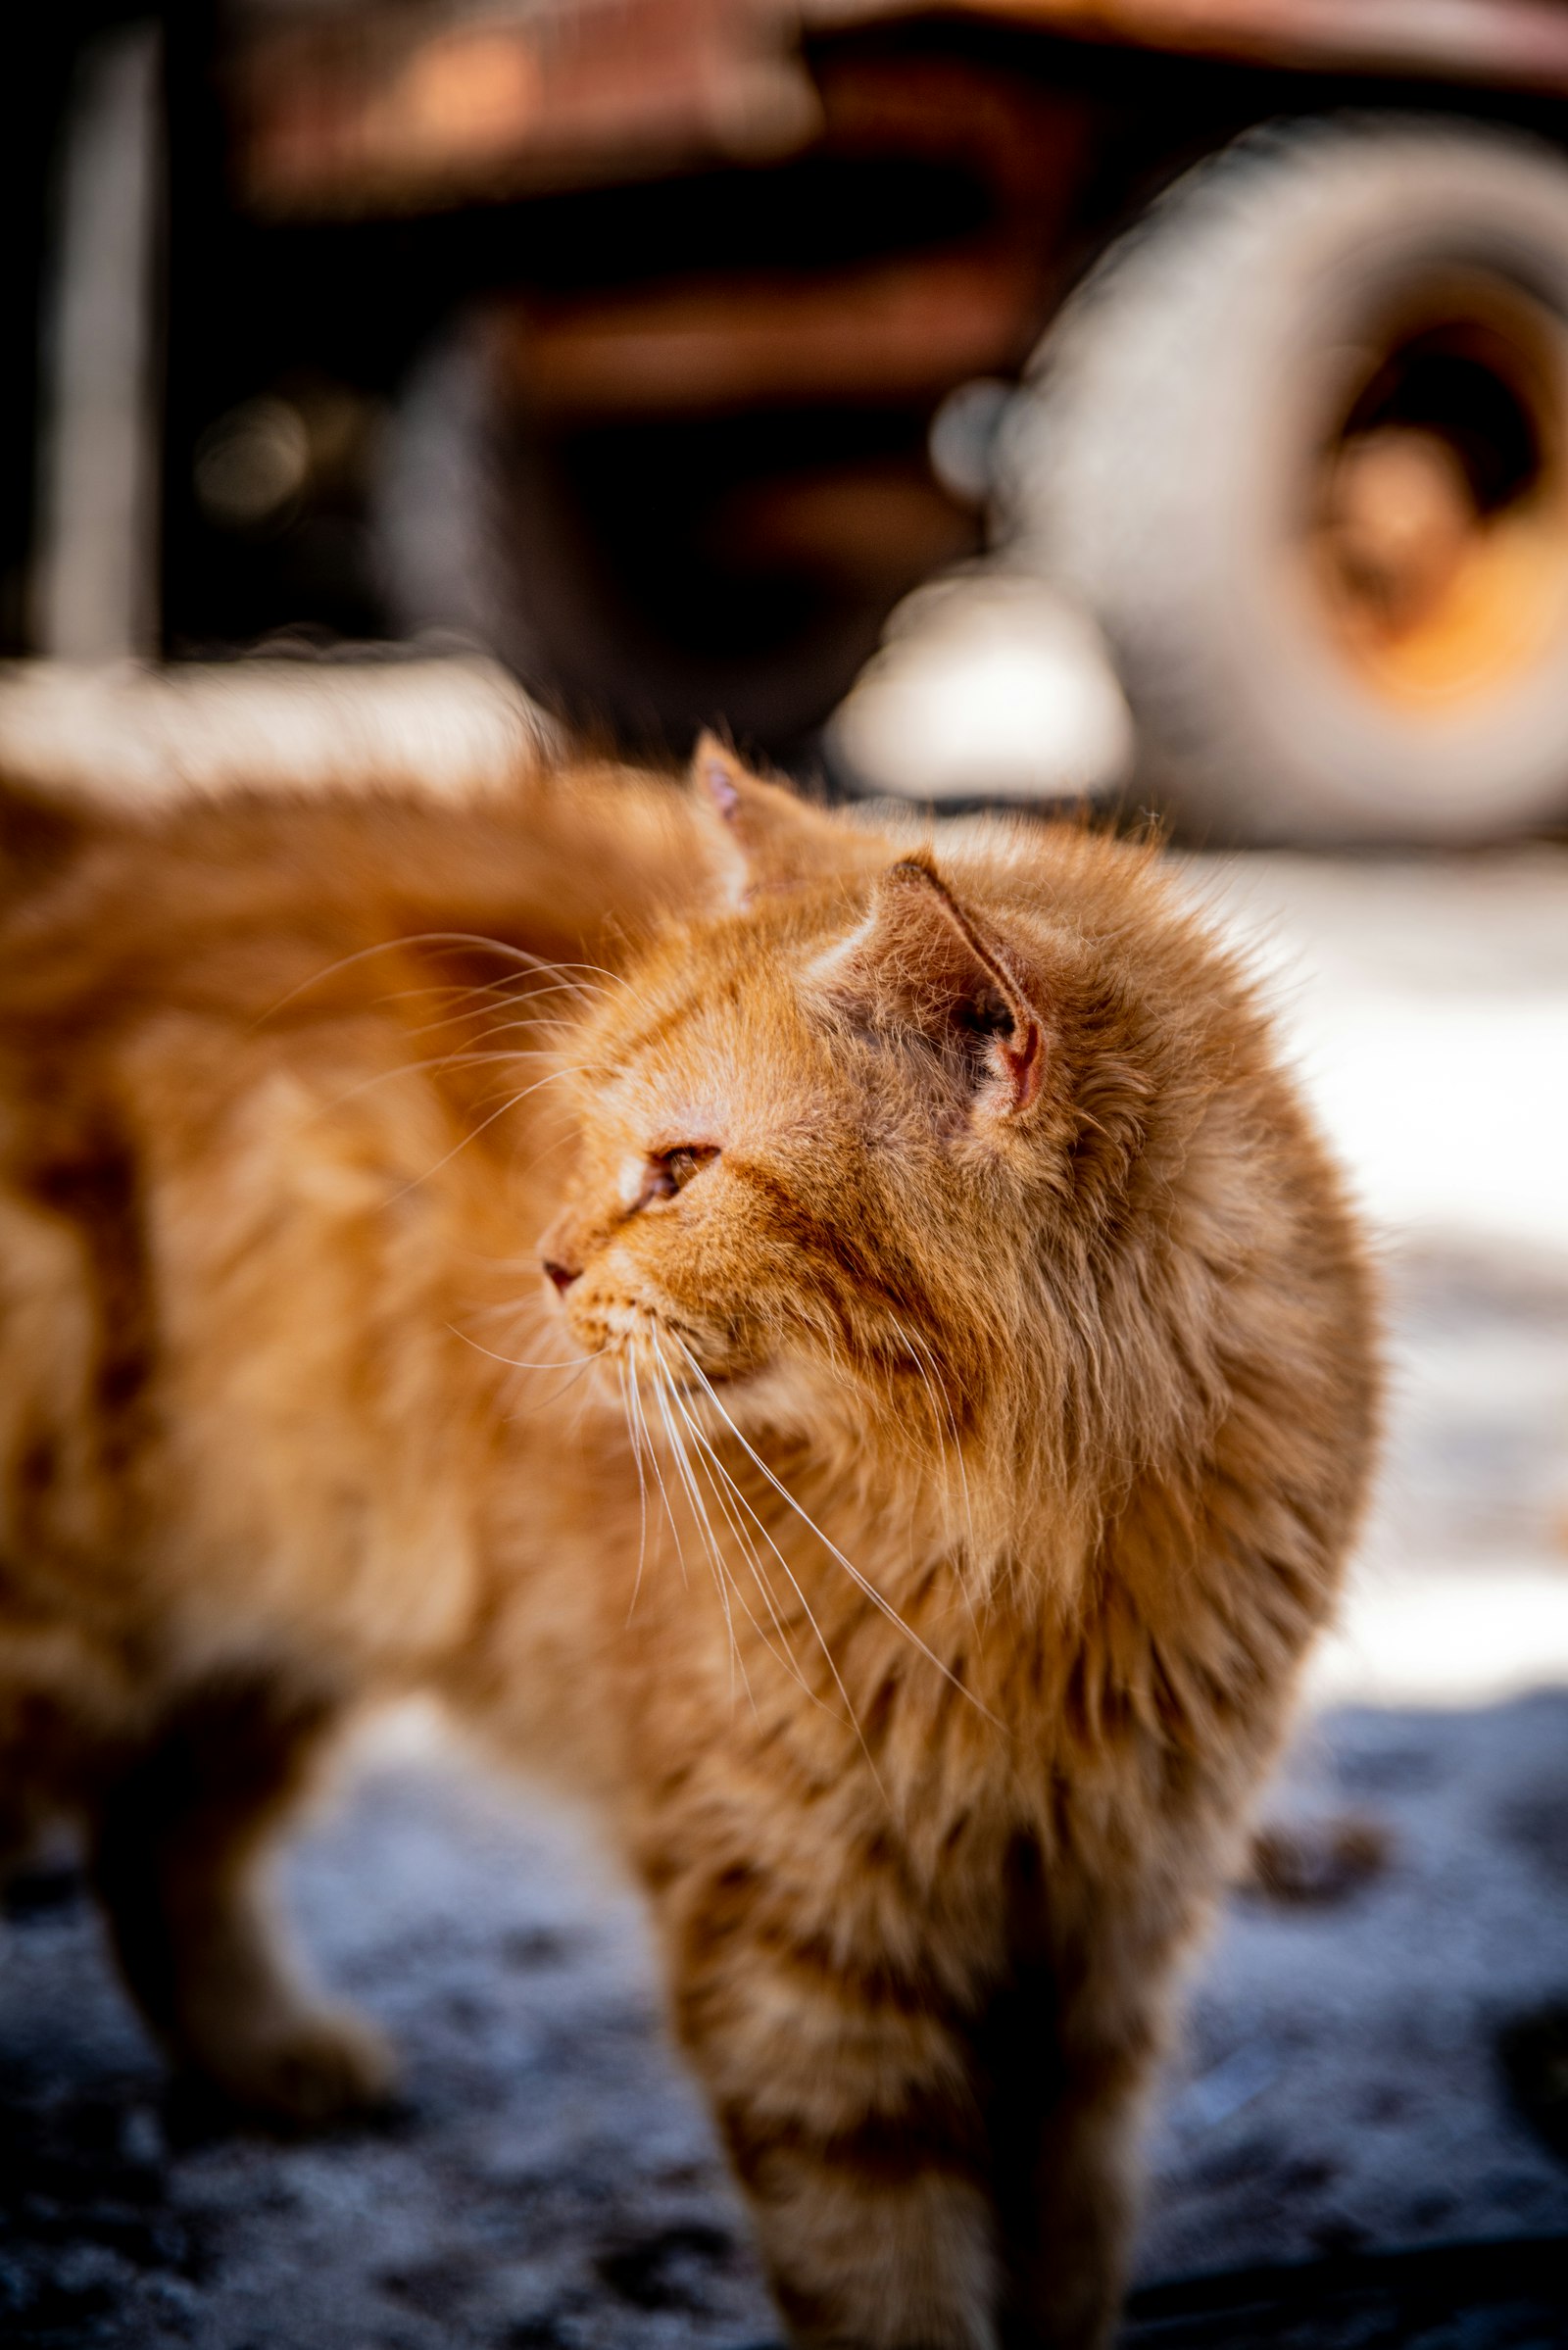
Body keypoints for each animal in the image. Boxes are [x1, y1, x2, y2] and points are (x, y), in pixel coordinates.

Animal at [0, 747, 1372, 2350]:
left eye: (681, 1168)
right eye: (599, 1144)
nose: (545, 1262)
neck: (1026, 1556)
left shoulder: (1105, 1934)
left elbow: (1066, 2248)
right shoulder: (801, 1942)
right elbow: (886, 2276)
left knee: (159, 1839)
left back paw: (271, 2059)